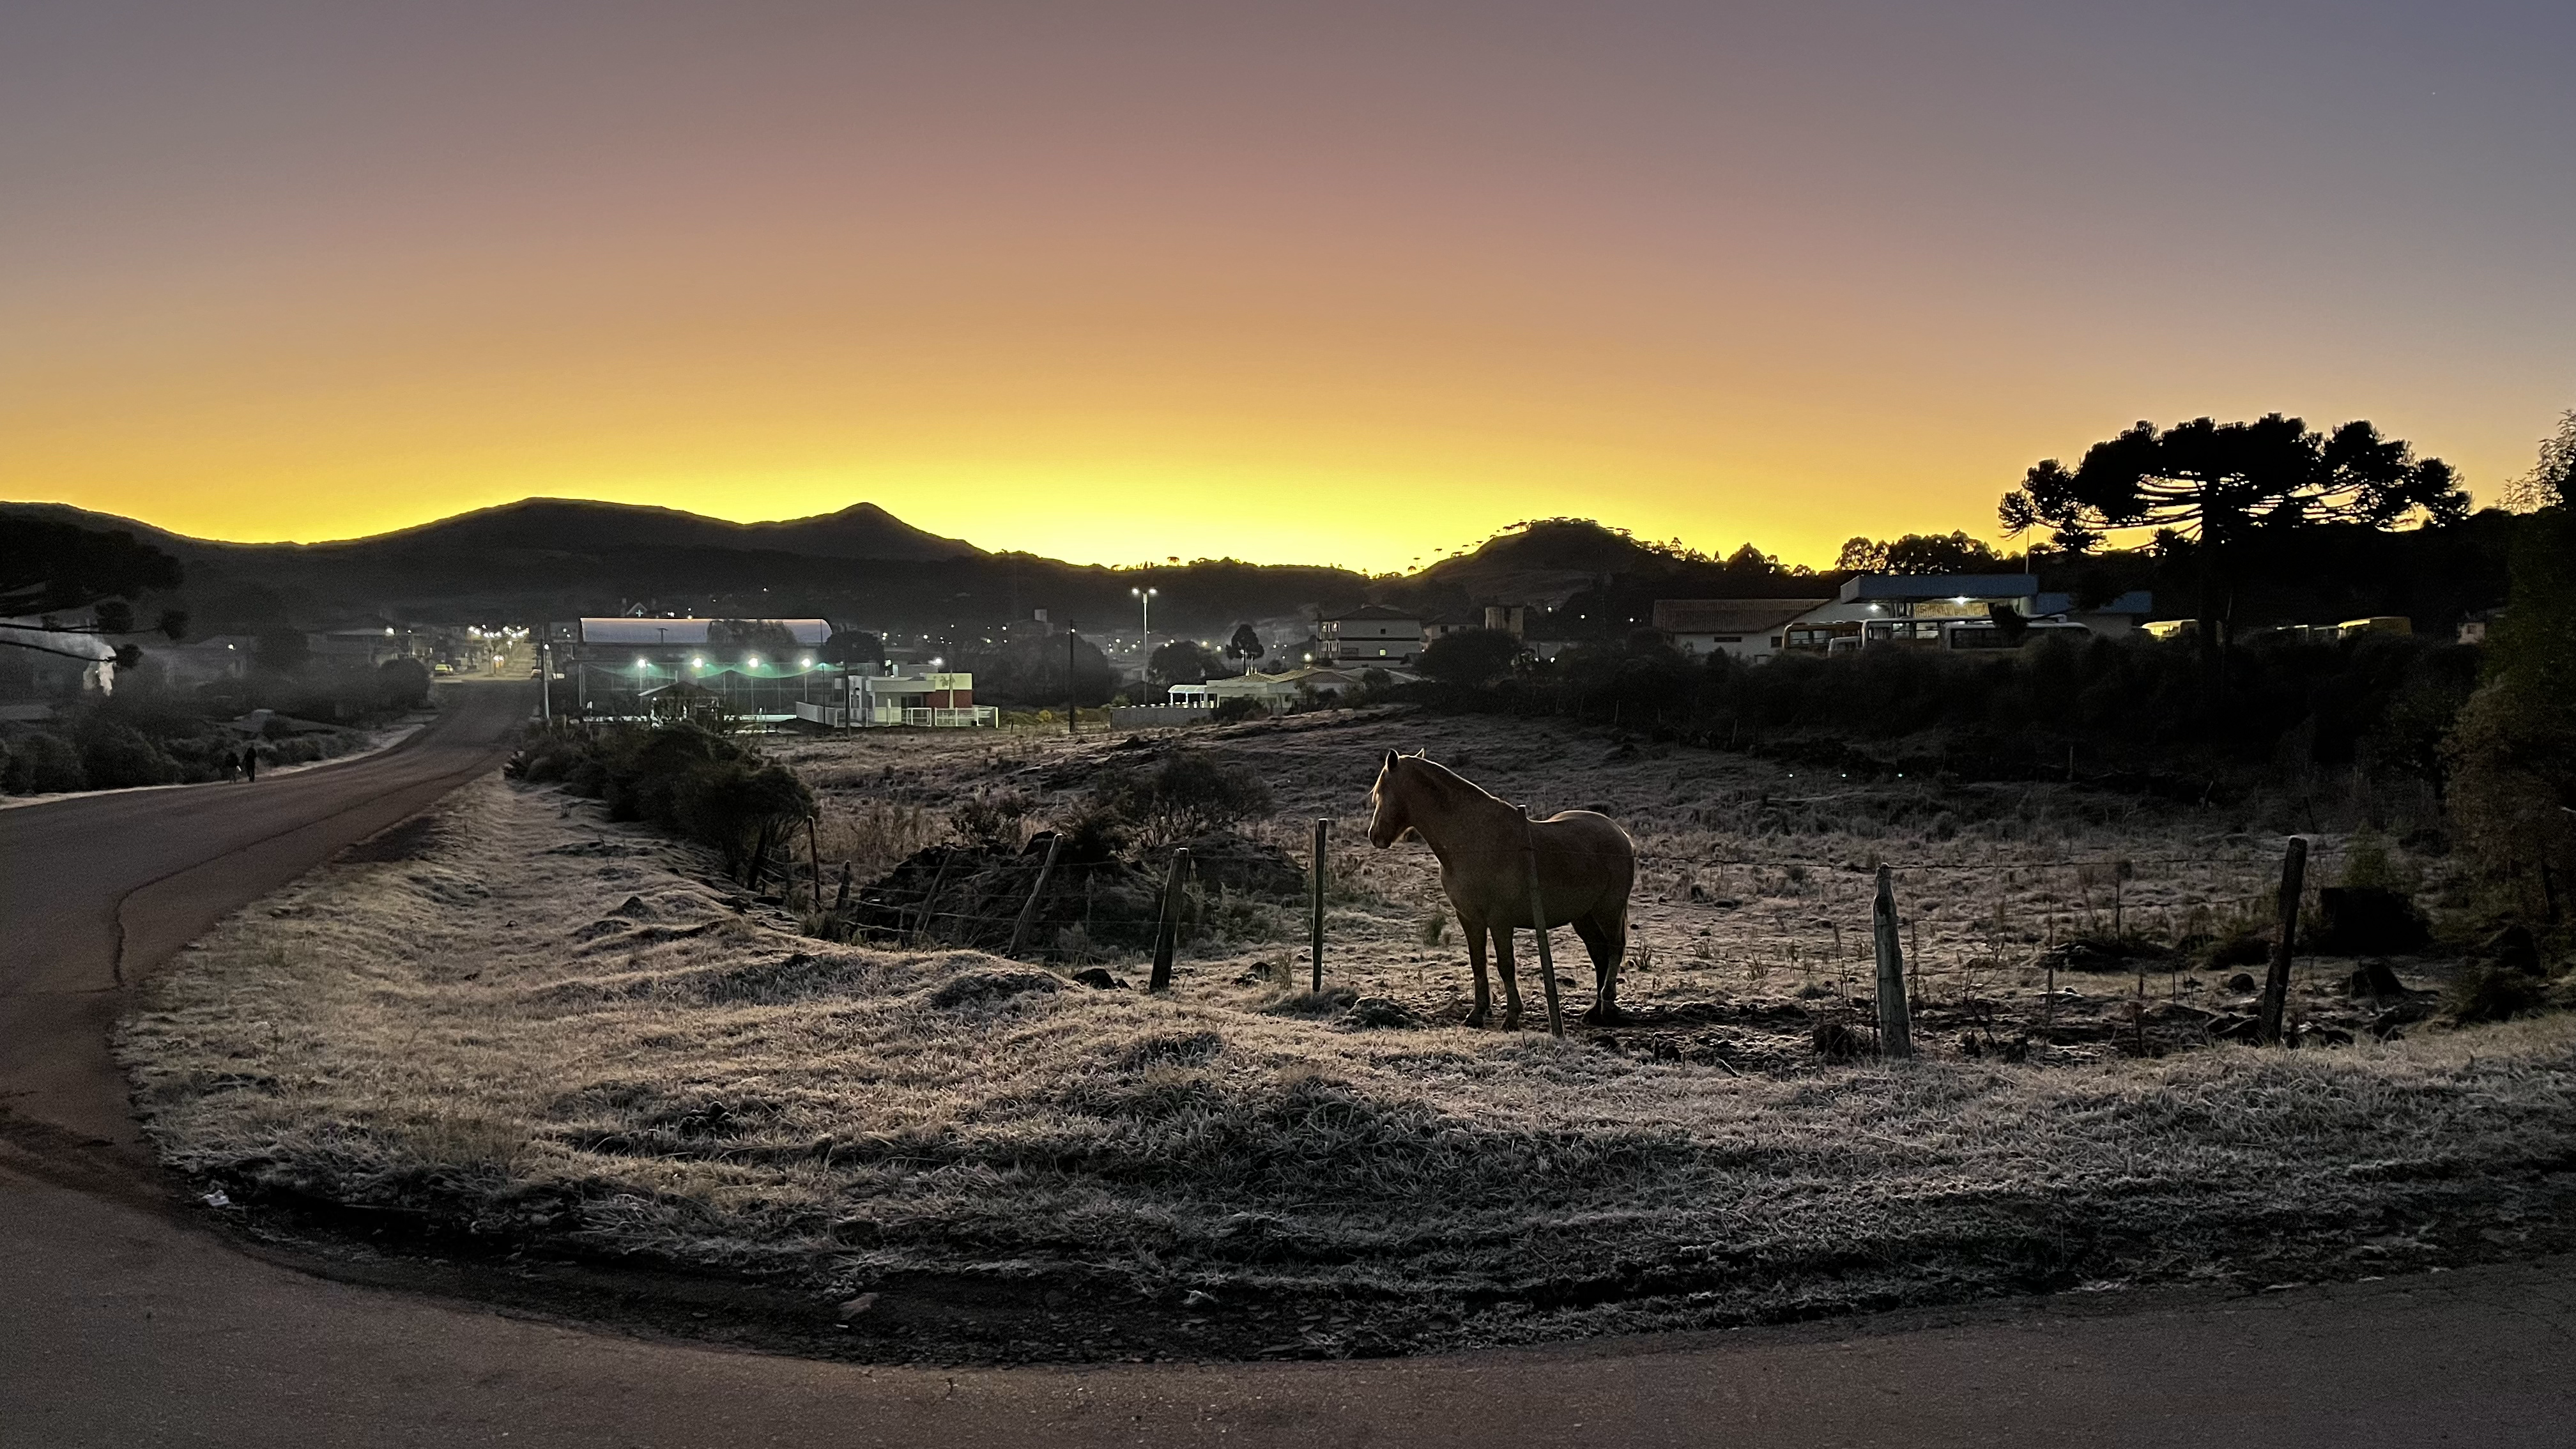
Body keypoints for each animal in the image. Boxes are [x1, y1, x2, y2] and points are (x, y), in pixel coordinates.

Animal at [1370, 747, 1628, 1021]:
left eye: (1381, 792)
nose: (1374, 835)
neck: (1474, 840)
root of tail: (1620, 834)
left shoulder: (1500, 920)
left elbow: (1506, 965)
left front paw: (1512, 1016)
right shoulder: (1470, 918)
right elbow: (1478, 962)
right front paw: (1477, 1013)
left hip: (1608, 911)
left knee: (1615, 949)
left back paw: (1608, 1000)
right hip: (1584, 917)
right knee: (1599, 955)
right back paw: (1595, 1011)